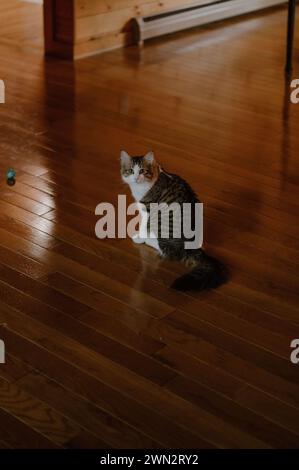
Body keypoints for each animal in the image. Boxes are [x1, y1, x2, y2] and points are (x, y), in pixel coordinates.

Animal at [120, 151, 226, 290]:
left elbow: (144, 225)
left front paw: (140, 237)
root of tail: (193, 247)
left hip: (162, 225)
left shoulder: (147, 209)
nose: (136, 178)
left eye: (142, 171)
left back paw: (148, 239)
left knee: (168, 251)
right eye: (131, 171)